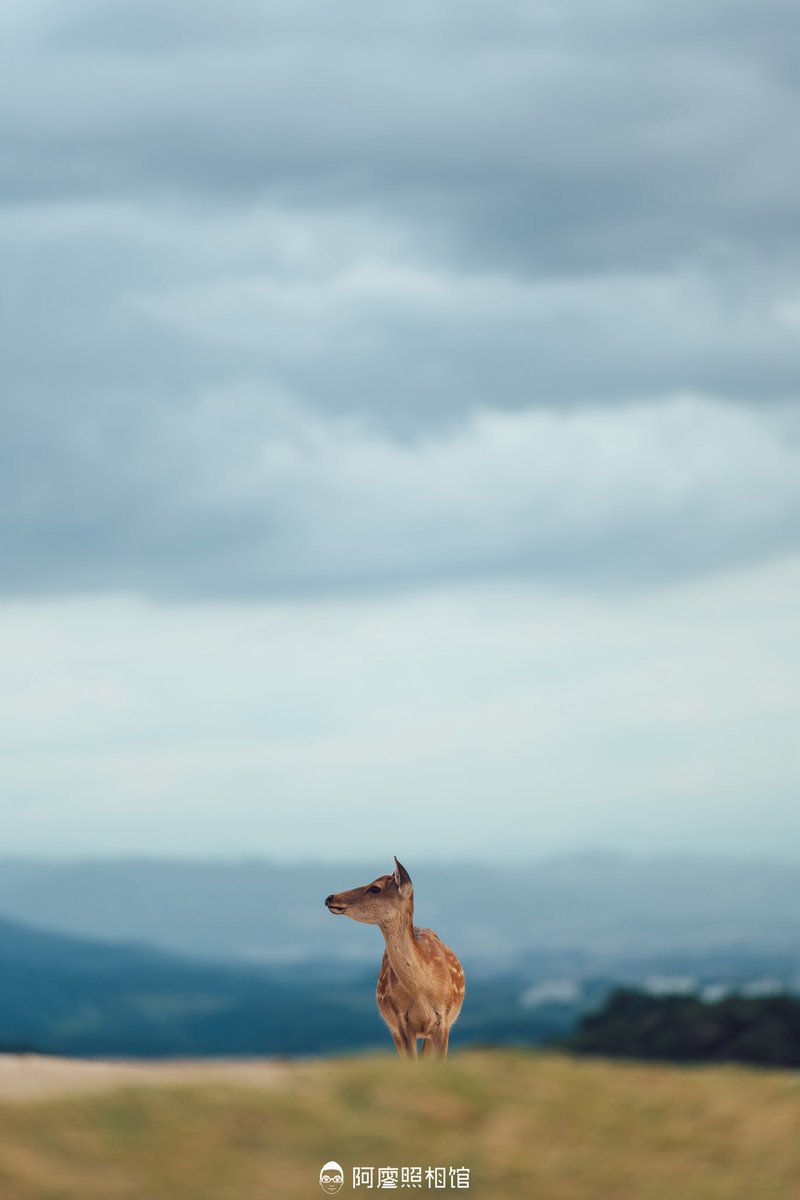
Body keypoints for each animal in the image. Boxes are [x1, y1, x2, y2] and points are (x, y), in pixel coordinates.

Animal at [325, 857, 465, 1060]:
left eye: (375, 888)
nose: (330, 897)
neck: (422, 991)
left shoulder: (443, 1018)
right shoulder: (400, 1019)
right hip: (393, 1028)